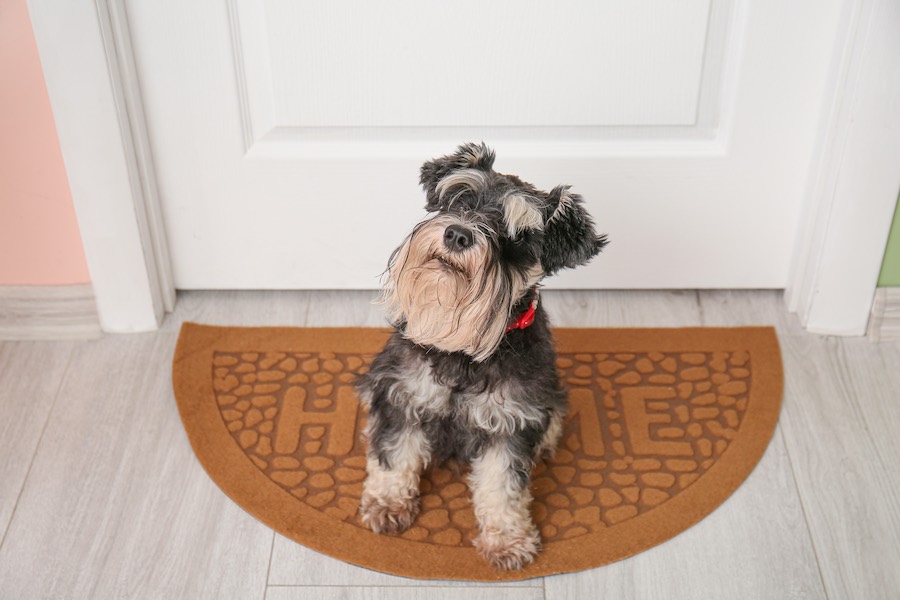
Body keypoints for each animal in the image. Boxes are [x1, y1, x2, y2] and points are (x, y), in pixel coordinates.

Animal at [356, 143, 608, 568]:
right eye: (460, 199)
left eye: (519, 236)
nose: (457, 233)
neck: (463, 351)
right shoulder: (401, 396)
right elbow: (394, 452)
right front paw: (387, 503)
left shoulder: (511, 423)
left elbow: (502, 484)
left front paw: (507, 539)